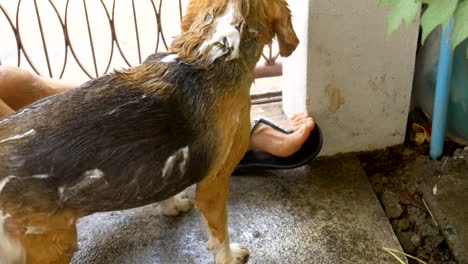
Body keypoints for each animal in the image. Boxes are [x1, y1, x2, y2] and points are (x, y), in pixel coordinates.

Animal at [0, 1, 298, 262]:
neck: (209, 53)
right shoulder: (214, 184)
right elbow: (219, 233)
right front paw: (229, 256)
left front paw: (171, 205)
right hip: (54, 242)